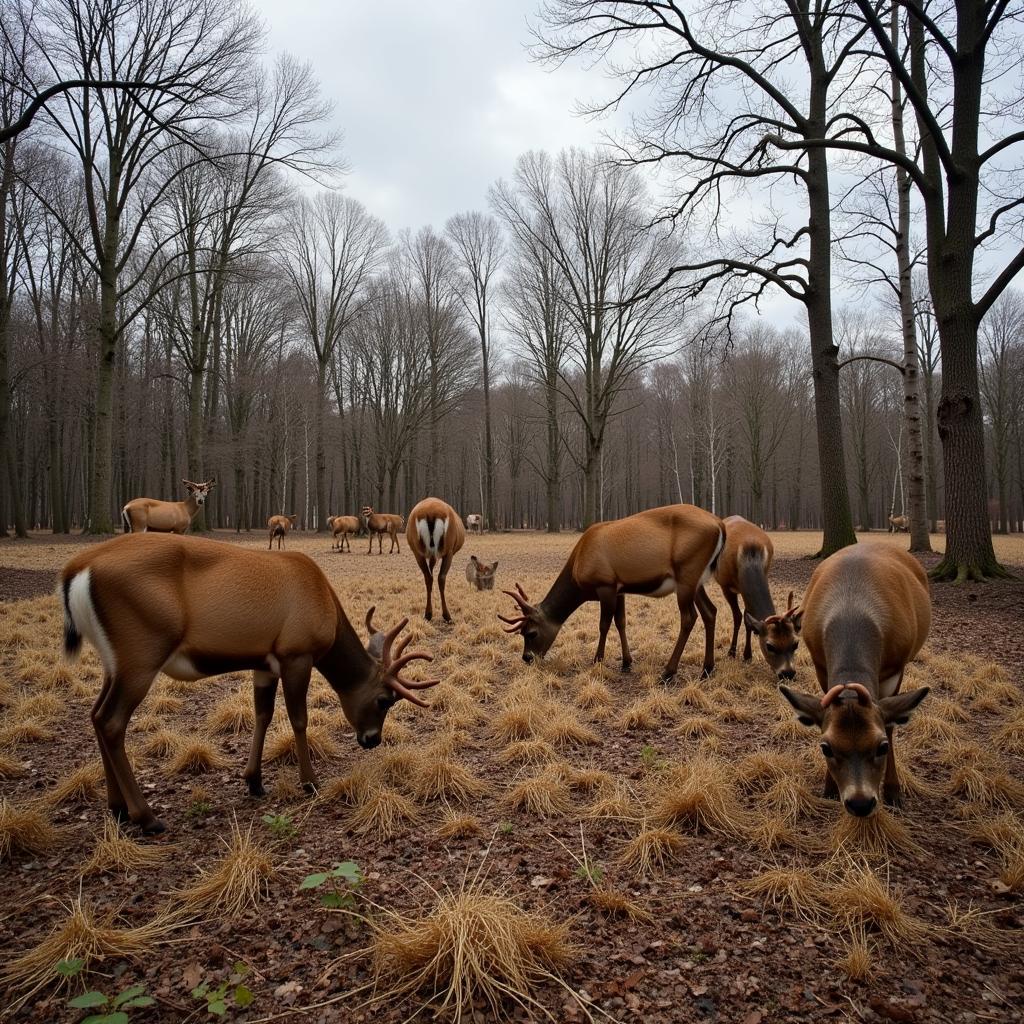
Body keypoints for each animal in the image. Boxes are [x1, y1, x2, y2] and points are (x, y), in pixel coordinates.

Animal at [59, 532, 436, 835]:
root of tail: (75, 571)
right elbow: (299, 719)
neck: (324, 606)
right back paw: (147, 817)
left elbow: (263, 715)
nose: (372, 740)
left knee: (95, 714)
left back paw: (117, 807)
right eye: (385, 699)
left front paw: (254, 780)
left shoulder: (264, 663)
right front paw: (310, 782)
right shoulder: (296, 653)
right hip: (142, 650)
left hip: (114, 661)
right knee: (111, 721)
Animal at [499, 501, 724, 679]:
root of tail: (720, 525)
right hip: (697, 580)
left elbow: (604, 624)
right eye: (521, 632)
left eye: (531, 633)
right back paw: (707, 668)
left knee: (689, 617)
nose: (527, 658)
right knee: (710, 611)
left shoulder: (605, 584)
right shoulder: (619, 588)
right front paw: (626, 662)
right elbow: (621, 622)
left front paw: (597, 659)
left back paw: (668, 672)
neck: (578, 571)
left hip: (687, 573)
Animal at [712, 512, 798, 679]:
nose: (788, 673)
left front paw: (747, 655)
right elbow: (738, 616)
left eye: (795, 643)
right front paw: (733, 652)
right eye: (770, 646)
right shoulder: (725, 586)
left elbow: (749, 620)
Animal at [778, 544, 933, 815]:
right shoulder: (820, 666)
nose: (860, 803)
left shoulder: (895, 668)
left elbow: (890, 725)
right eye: (825, 747)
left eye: (881, 746)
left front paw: (894, 791)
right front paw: (829, 788)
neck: (852, 611)